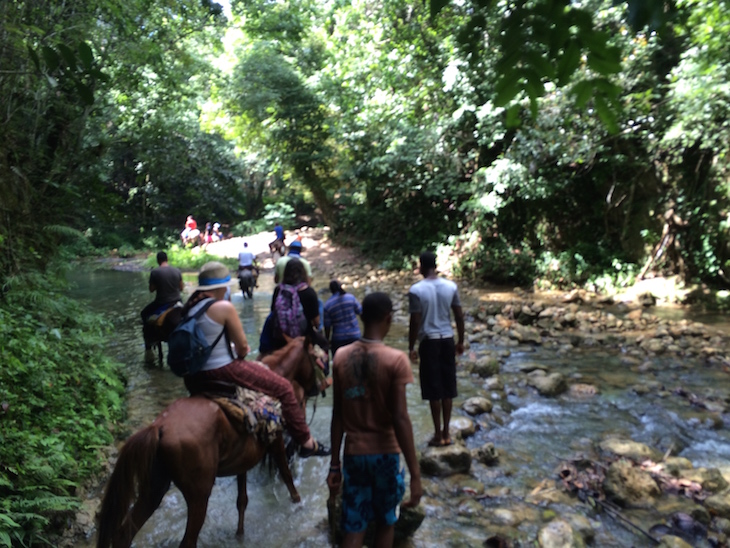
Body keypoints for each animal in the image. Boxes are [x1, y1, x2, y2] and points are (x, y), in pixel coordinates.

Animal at [96, 338, 324, 548]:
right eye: (319, 359)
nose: (316, 389)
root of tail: (159, 427)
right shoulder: (275, 441)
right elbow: (286, 476)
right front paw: (299, 506)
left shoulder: (244, 460)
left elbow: (242, 500)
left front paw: (240, 535)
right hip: (198, 495)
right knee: (187, 541)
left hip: (154, 487)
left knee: (124, 534)